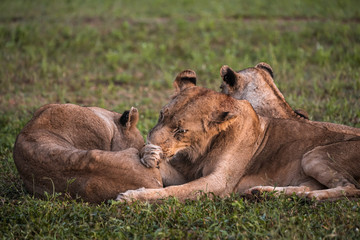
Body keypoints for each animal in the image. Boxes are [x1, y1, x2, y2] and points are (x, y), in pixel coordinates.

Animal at [117, 69, 360, 201]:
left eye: (181, 130)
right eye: (161, 115)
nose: (149, 142)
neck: (200, 149)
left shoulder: (219, 183)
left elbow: (174, 192)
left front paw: (132, 197)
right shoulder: (189, 173)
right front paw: (148, 154)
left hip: (314, 155)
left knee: (351, 188)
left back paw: (310, 198)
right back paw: (263, 193)